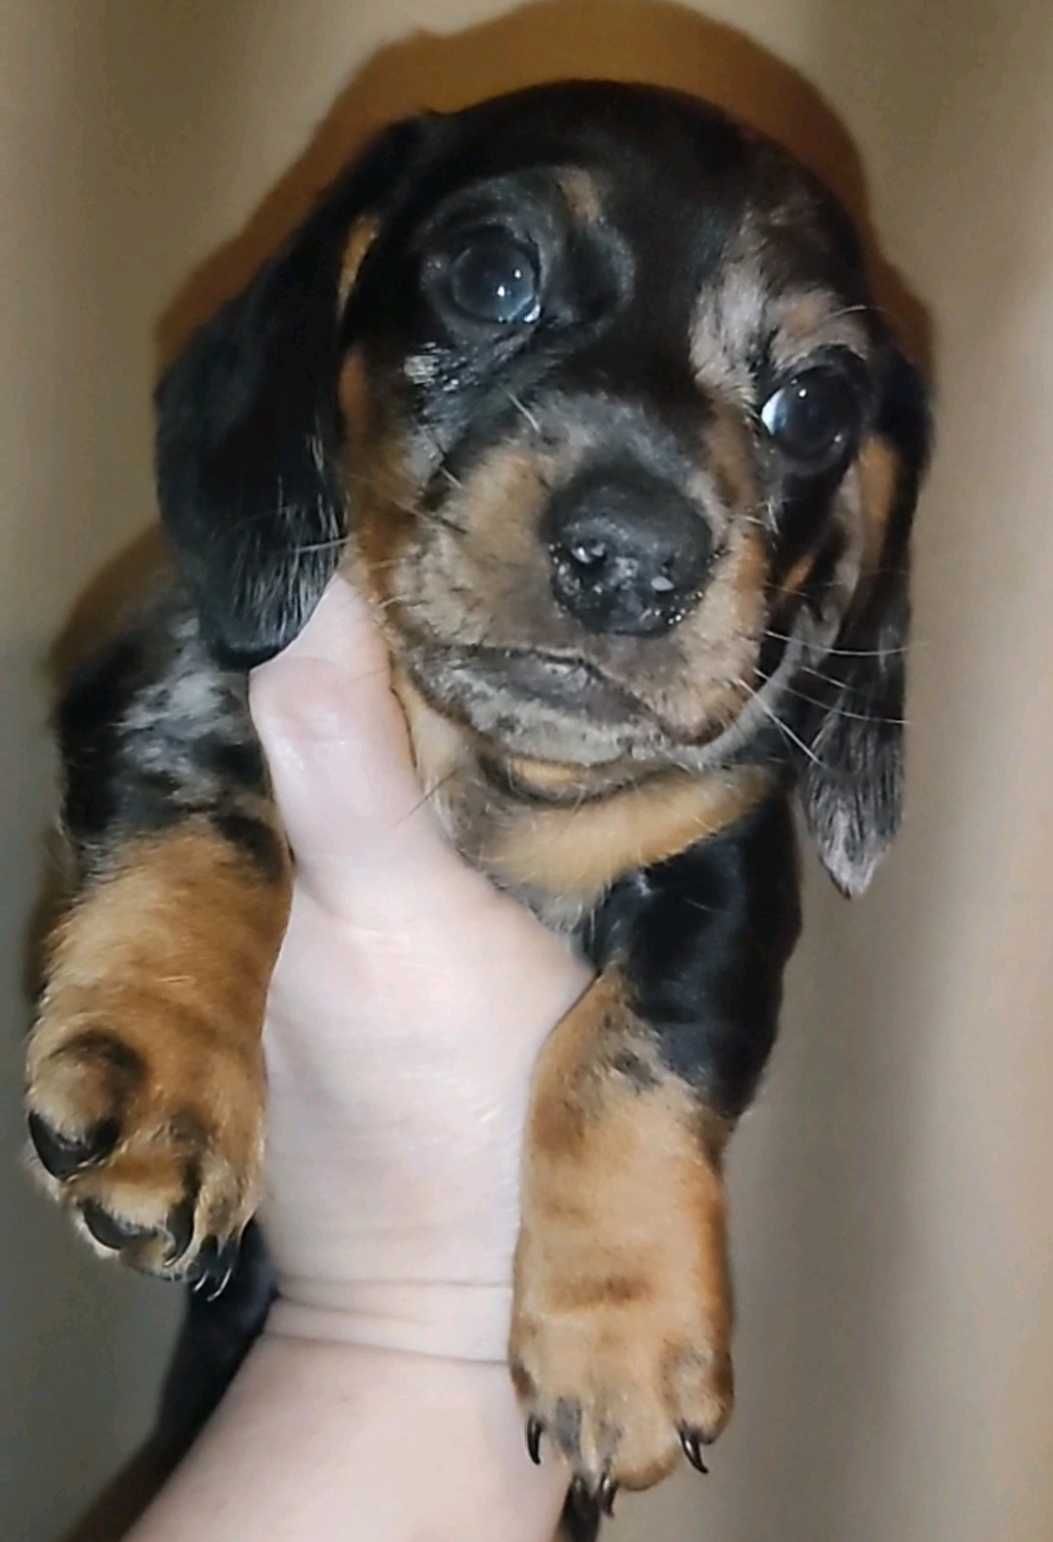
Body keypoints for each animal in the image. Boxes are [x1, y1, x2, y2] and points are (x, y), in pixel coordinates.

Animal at [25, 80, 929, 1534]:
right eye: (492, 276)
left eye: (816, 401)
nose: (634, 558)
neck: (494, 766)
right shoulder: (168, 668)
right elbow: (215, 813)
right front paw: (165, 1074)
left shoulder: (724, 870)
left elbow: (639, 1042)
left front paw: (620, 1330)